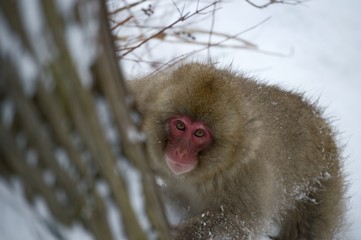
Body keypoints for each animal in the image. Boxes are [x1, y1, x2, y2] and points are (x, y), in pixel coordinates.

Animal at [126, 62, 344, 239]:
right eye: (180, 126)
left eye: (199, 133)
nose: (180, 152)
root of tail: (321, 125)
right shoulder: (143, 96)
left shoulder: (248, 170)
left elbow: (239, 220)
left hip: (321, 184)